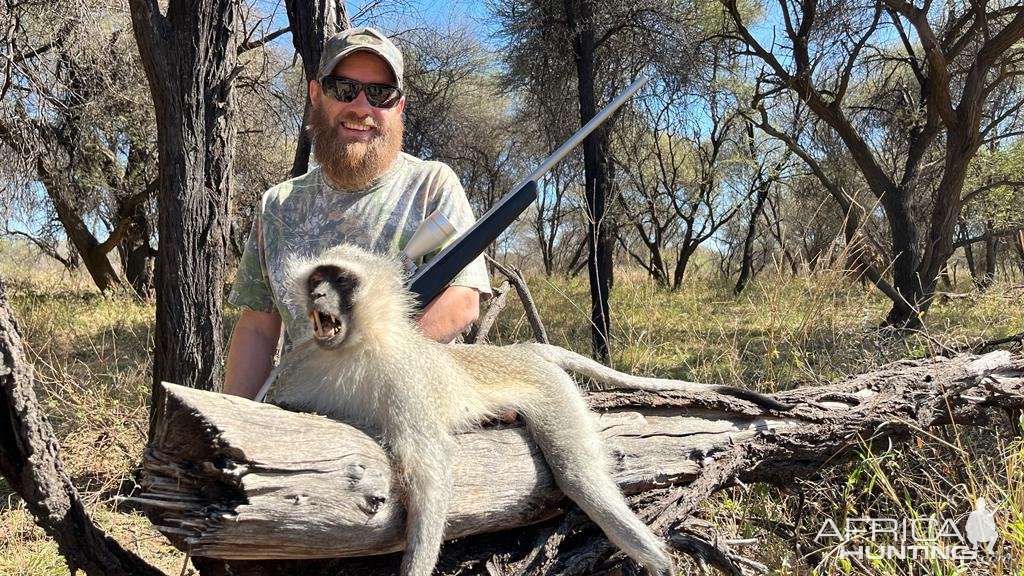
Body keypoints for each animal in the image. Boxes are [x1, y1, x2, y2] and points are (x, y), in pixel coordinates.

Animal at [268, 242, 786, 573]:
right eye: (317, 279)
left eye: (340, 279)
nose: (318, 295)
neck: (353, 350)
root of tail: (526, 352)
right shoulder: (297, 368)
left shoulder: (406, 383)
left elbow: (431, 468)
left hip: (553, 392)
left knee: (581, 477)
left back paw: (658, 562)